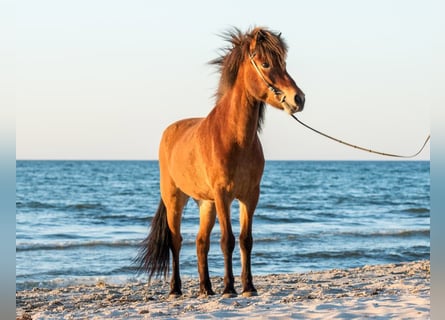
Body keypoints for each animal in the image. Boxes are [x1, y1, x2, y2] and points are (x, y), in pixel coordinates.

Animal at [137, 26, 304, 298]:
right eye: (266, 64)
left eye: (284, 64)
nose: (298, 99)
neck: (233, 137)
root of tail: (169, 131)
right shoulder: (223, 194)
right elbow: (228, 240)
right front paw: (229, 288)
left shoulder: (250, 196)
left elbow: (246, 240)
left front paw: (248, 287)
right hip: (175, 199)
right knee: (176, 241)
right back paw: (176, 289)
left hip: (206, 203)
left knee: (200, 242)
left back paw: (206, 288)